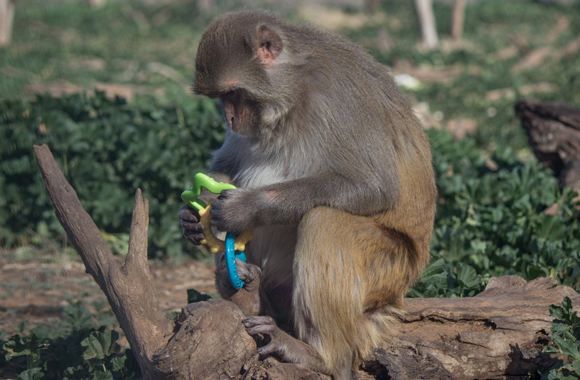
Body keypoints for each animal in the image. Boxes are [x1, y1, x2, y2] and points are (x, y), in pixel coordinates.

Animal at [179, 9, 438, 380]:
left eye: (235, 94)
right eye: (221, 99)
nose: (229, 118)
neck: (293, 94)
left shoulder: (339, 101)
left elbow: (375, 187)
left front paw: (245, 207)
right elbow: (227, 164)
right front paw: (194, 212)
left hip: (389, 273)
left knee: (324, 221)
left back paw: (319, 356)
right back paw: (248, 296)